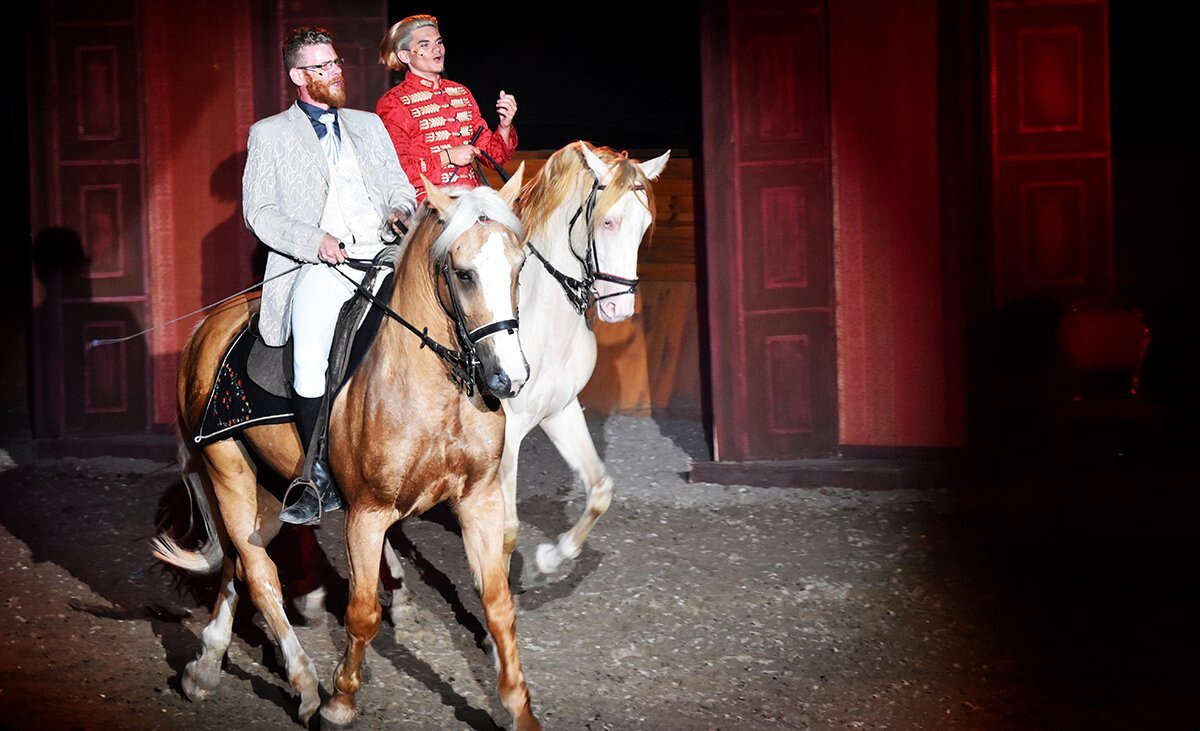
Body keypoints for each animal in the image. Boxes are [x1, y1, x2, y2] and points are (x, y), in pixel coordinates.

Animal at [151, 168, 543, 730]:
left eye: (519, 265)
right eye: (464, 274)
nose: (508, 378)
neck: (433, 386)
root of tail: (206, 328)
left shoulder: (480, 499)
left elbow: (497, 604)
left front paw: (518, 708)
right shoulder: (368, 513)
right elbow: (362, 611)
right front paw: (340, 702)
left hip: (266, 492)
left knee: (236, 563)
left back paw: (205, 668)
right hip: (227, 472)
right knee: (260, 574)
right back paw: (305, 686)